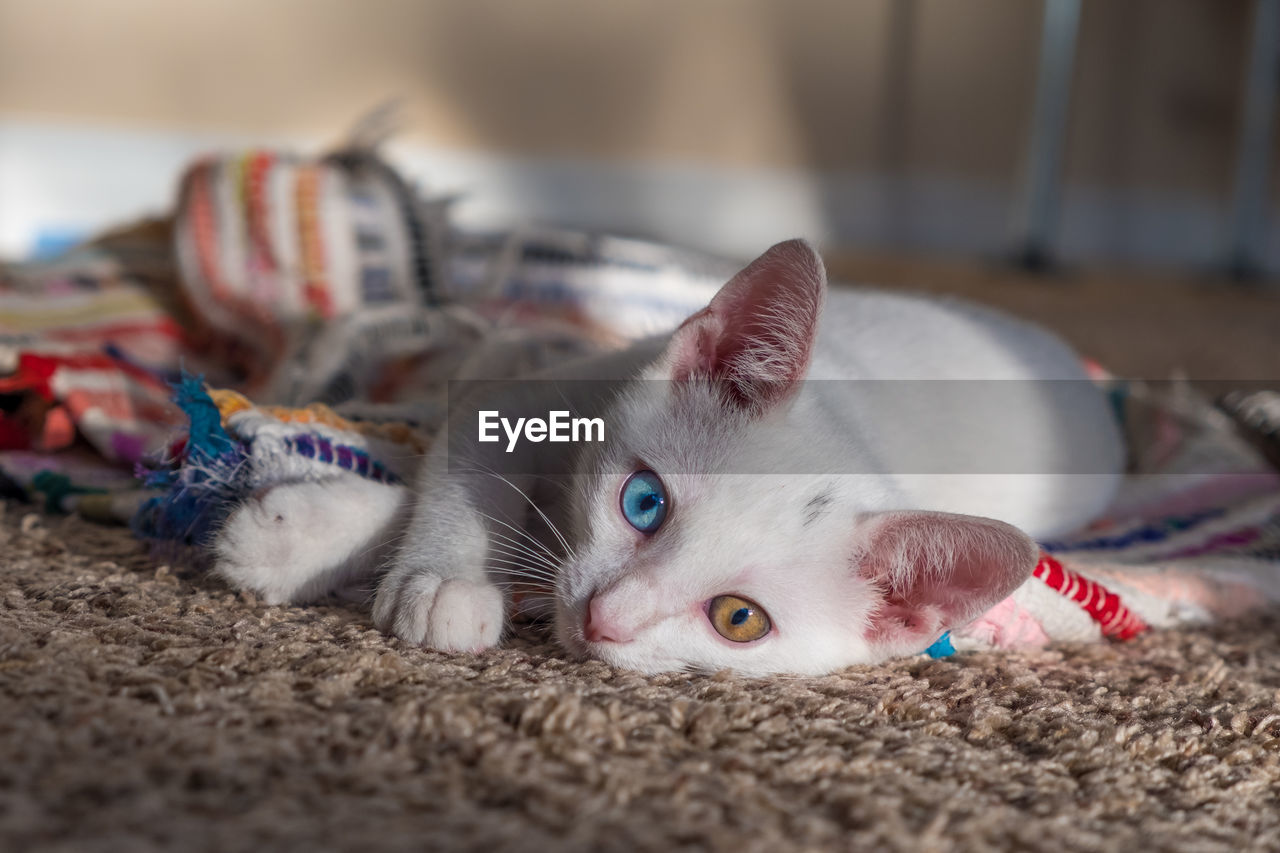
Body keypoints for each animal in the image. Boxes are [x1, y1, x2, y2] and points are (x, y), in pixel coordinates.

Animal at [217, 239, 1121, 671]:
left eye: (739, 618)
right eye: (643, 502)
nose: (605, 617)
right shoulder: (532, 394)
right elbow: (462, 472)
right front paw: (323, 537)